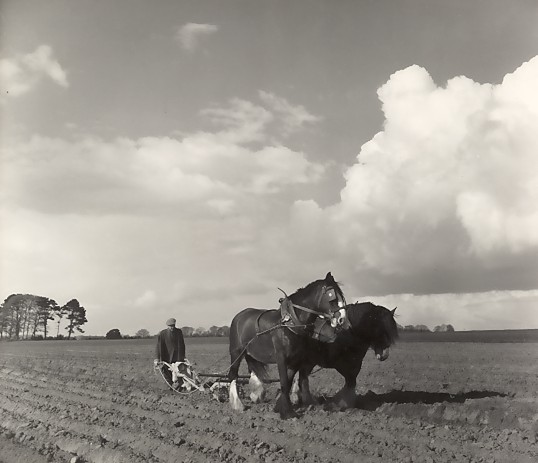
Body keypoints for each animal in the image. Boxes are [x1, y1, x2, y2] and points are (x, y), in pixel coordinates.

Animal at [225, 272, 344, 420]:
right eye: (332, 297)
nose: (342, 319)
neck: (290, 324)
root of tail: (239, 316)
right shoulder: (281, 358)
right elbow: (284, 382)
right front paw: (287, 412)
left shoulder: (295, 360)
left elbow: (288, 381)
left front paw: (280, 406)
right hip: (236, 352)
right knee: (233, 375)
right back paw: (237, 405)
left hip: (250, 353)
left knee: (252, 369)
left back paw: (257, 394)